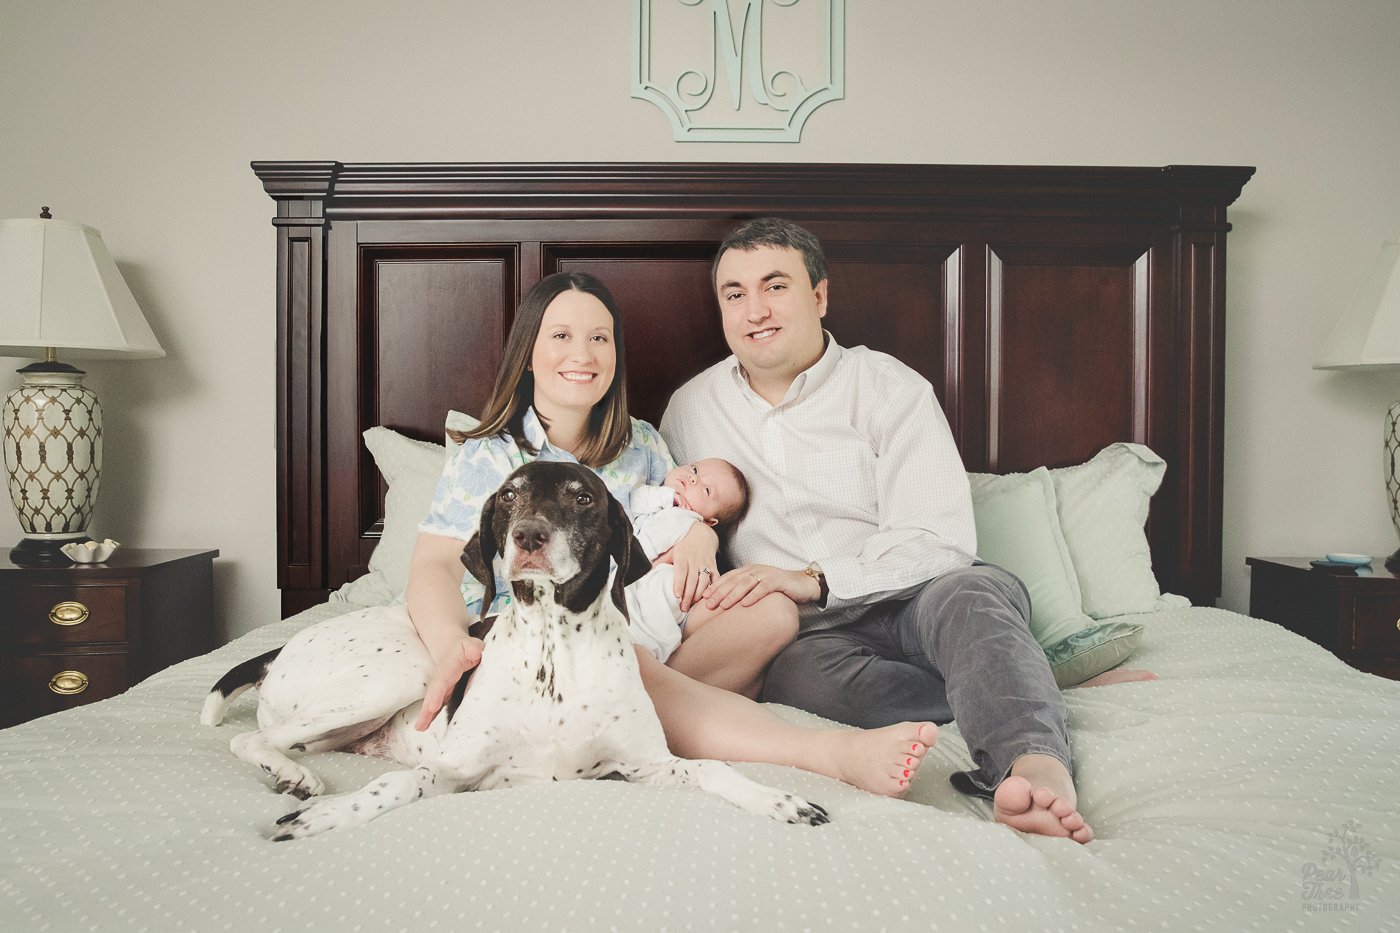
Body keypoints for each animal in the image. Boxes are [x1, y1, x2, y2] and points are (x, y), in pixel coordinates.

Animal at [203, 456, 823, 834]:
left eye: (583, 498)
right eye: (507, 496)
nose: (528, 536)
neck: (554, 651)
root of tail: (279, 649)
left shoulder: (647, 766)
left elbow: (715, 768)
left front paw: (779, 800)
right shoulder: (454, 772)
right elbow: (395, 784)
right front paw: (329, 816)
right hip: (402, 675)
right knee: (248, 739)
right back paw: (297, 781)